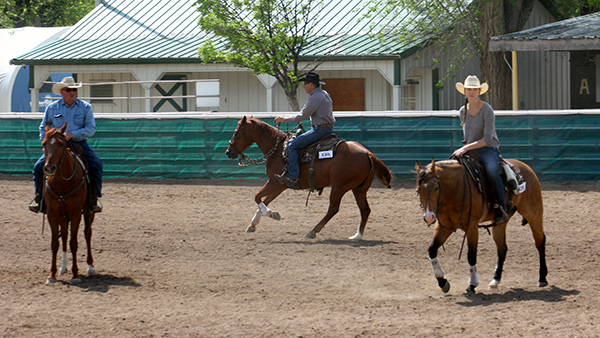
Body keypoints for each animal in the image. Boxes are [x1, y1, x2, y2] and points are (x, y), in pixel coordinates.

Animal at [41, 123, 95, 284]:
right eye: (44, 143)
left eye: (61, 143)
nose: (49, 168)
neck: (62, 182)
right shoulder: (52, 214)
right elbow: (55, 243)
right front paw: (51, 274)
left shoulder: (76, 213)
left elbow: (74, 243)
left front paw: (76, 274)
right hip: (62, 216)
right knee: (64, 235)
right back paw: (63, 267)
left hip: (88, 212)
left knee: (87, 234)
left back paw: (90, 267)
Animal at [225, 116, 394, 240]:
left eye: (236, 132)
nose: (228, 152)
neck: (279, 149)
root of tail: (368, 153)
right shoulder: (280, 184)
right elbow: (264, 200)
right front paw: (253, 224)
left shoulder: (275, 182)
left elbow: (257, 197)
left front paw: (271, 214)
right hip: (359, 188)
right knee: (365, 210)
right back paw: (357, 236)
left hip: (339, 186)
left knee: (333, 208)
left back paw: (313, 231)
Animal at [414, 158, 548, 294]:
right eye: (418, 190)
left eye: (436, 188)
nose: (429, 217)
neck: (456, 188)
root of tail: (526, 167)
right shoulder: (444, 226)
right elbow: (432, 250)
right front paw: (443, 282)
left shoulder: (472, 226)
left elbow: (471, 256)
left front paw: (472, 285)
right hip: (500, 223)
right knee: (502, 248)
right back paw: (495, 280)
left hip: (533, 214)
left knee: (540, 242)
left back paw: (542, 278)